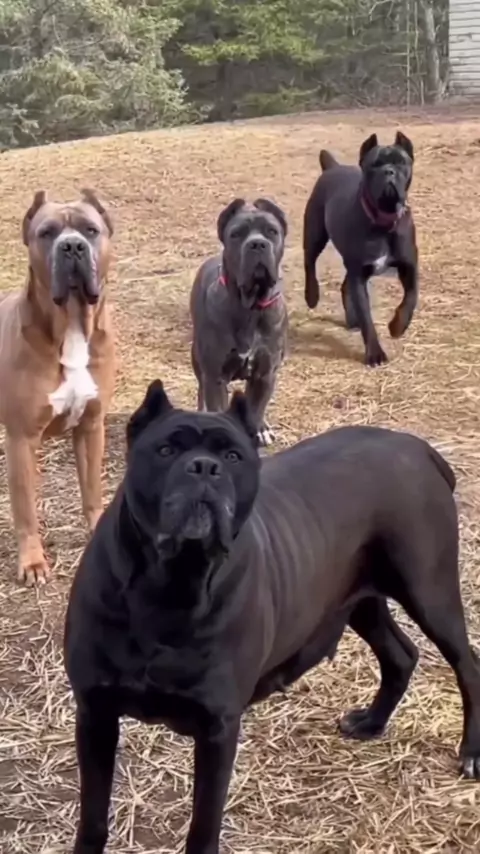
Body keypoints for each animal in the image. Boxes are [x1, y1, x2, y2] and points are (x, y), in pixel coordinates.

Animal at [0, 189, 115, 586]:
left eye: (91, 230)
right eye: (46, 232)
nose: (72, 246)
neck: (71, 326)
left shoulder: (91, 426)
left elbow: (92, 488)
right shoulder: (21, 439)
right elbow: (25, 509)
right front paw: (32, 560)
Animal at [64, 379, 480, 854]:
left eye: (233, 457)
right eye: (166, 450)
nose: (203, 467)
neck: (172, 583)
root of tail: (418, 448)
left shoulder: (218, 729)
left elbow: (203, 826)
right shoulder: (96, 713)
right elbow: (94, 816)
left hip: (429, 590)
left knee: (467, 665)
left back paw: (471, 752)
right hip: (357, 599)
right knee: (401, 655)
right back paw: (371, 723)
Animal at [190, 197, 288, 446]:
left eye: (271, 231)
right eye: (236, 234)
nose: (257, 244)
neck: (249, 308)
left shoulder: (265, 374)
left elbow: (256, 409)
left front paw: (259, 430)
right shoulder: (215, 377)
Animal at [303, 131, 418, 367]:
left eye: (401, 162)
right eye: (374, 164)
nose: (389, 171)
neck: (384, 221)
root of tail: (332, 167)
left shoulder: (409, 268)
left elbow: (411, 299)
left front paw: (397, 326)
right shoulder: (359, 275)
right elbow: (367, 319)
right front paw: (375, 354)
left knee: (345, 286)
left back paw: (352, 319)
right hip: (315, 235)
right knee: (309, 263)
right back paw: (312, 295)